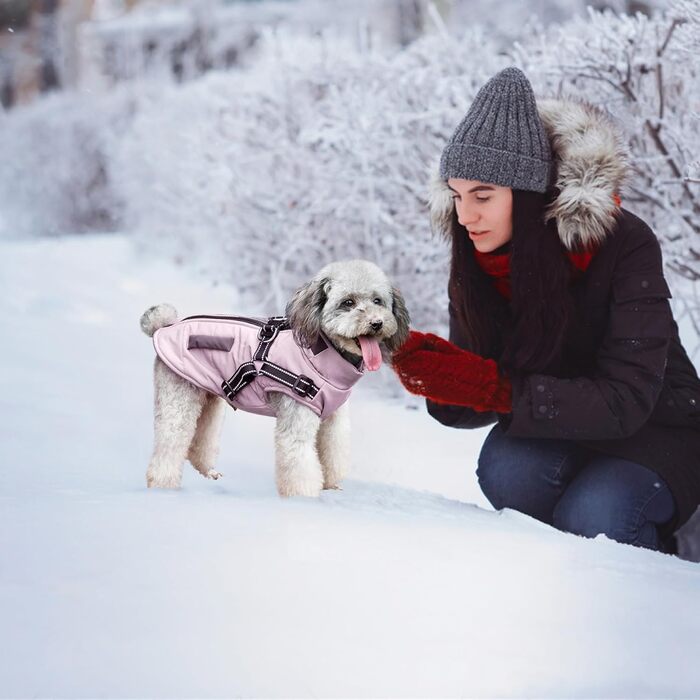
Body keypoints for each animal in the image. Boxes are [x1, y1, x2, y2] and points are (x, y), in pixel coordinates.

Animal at [140, 258, 410, 498]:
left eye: (378, 301)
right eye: (348, 302)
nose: (377, 323)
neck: (321, 353)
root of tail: (164, 326)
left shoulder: (333, 420)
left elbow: (333, 452)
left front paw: (331, 485)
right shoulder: (297, 419)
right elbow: (299, 462)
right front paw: (305, 498)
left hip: (208, 397)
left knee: (200, 440)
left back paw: (208, 472)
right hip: (178, 398)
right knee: (170, 442)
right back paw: (163, 486)